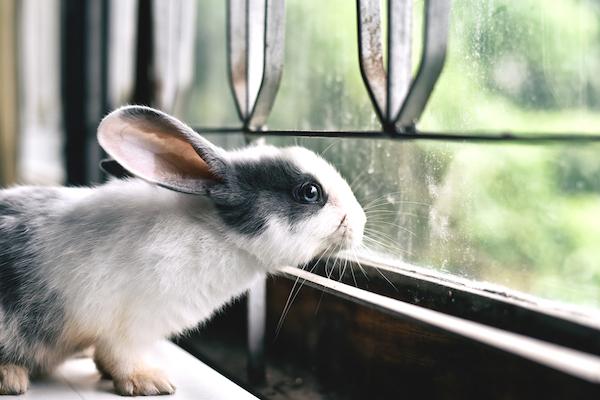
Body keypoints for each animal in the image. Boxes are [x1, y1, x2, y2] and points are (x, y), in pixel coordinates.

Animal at [0, 104, 366, 396]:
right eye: (309, 192)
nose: (361, 221)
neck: (218, 233)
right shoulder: (126, 325)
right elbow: (120, 356)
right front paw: (150, 382)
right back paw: (11, 378)